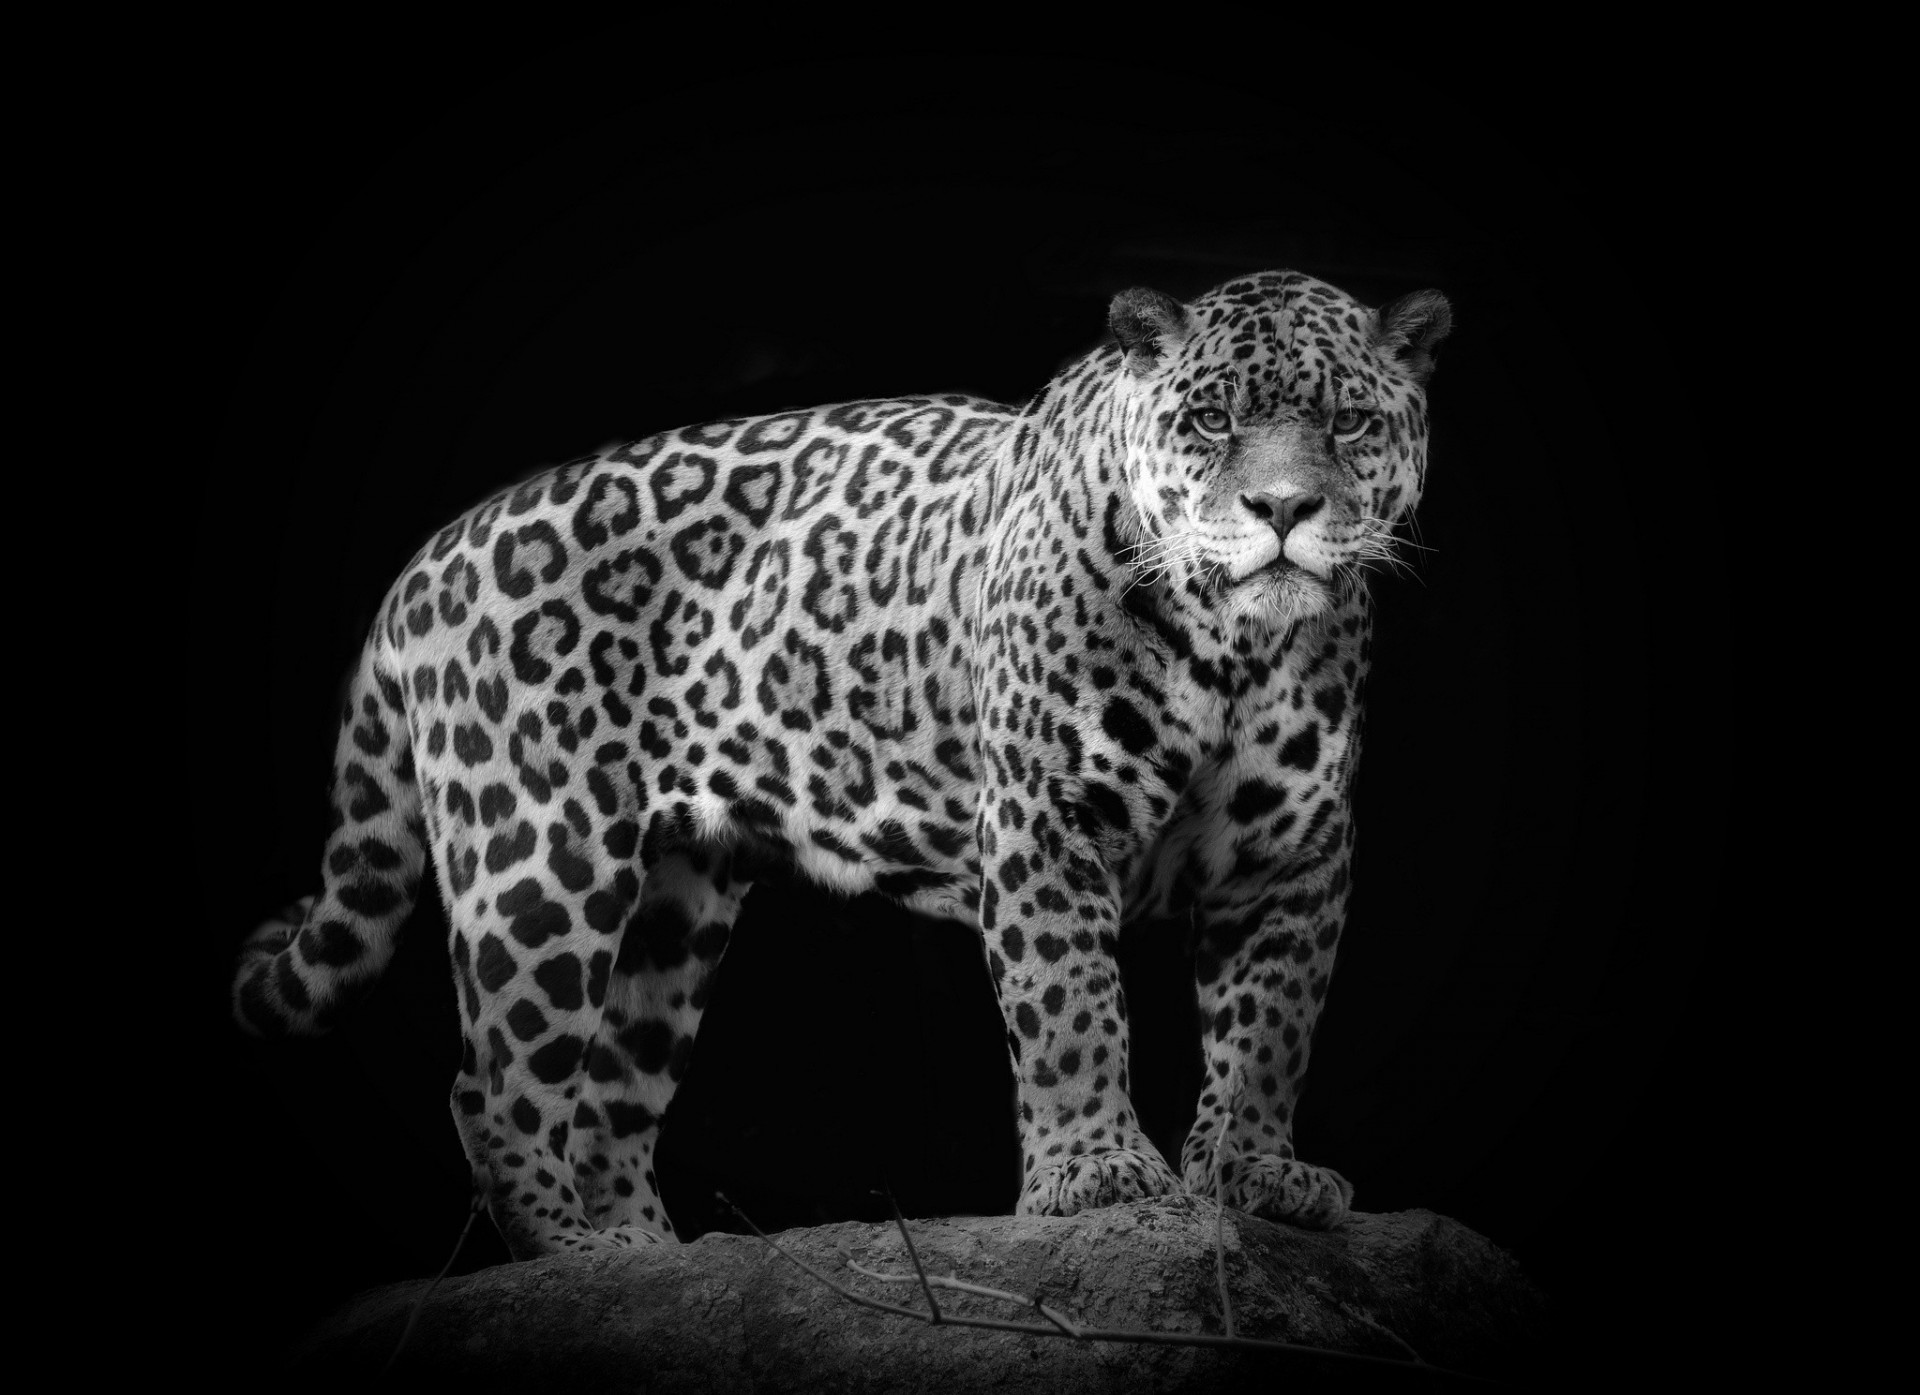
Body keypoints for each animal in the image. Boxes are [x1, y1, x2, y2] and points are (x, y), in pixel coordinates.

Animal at [232, 269, 1451, 1258]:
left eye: (1349, 422)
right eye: (1211, 418)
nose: (1283, 509)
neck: (1236, 645)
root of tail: (427, 557)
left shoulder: (1292, 853)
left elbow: (1270, 1026)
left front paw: (1255, 1173)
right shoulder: (1045, 817)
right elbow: (1070, 1005)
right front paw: (1099, 1173)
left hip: (675, 907)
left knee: (609, 1100)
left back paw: (647, 1260)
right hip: (539, 863)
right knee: (494, 1085)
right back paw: (570, 1257)